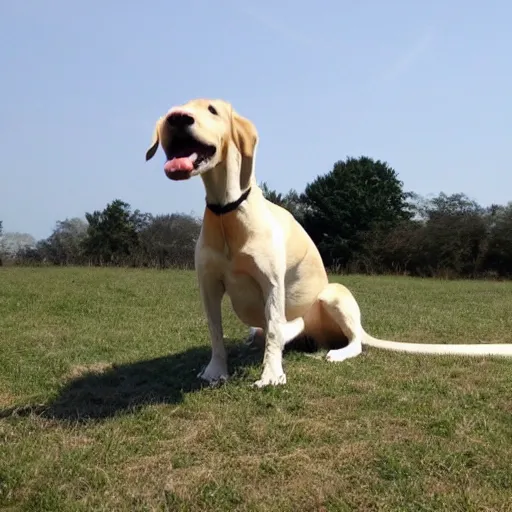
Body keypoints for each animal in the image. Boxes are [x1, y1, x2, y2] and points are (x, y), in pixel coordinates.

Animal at [144, 99, 512, 388]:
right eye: (178, 107)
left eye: (212, 109)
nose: (176, 118)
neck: (228, 213)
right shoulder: (207, 285)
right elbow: (216, 333)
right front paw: (215, 371)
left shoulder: (271, 284)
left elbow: (274, 331)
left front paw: (271, 375)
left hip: (333, 295)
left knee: (354, 342)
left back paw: (336, 350)